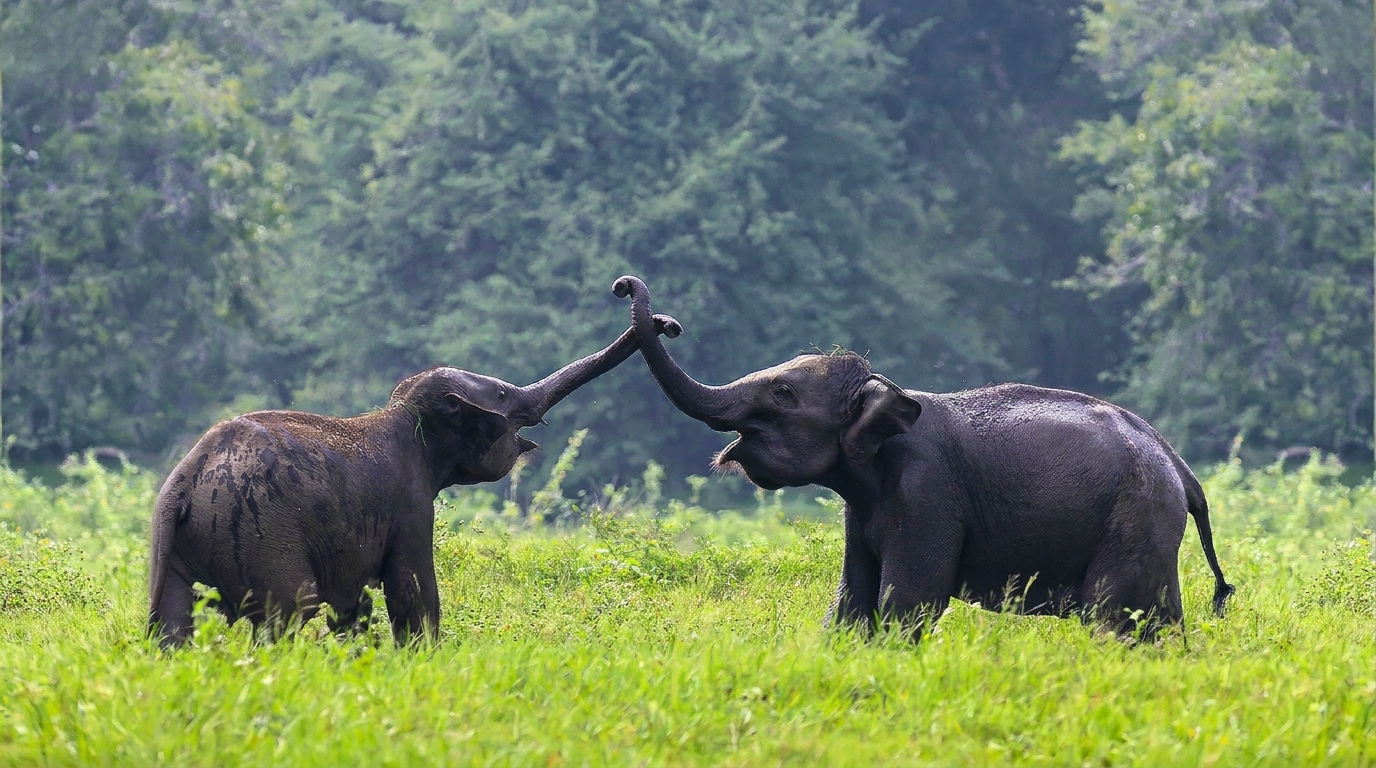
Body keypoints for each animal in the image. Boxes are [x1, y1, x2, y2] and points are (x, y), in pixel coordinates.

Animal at [148, 314, 681, 647]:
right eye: (504, 395)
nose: (666, 324)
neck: (402, 415)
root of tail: (185, 481)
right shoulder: (409, 503)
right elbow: (412, 593)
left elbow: (355, 606)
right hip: (263, 537)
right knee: (289, 614)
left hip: (174, 547)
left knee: (171, 624)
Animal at [613, 276, 1234, 639]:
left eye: (784, 393)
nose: (632, 292)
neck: (890, 394)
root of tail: (1179, 468)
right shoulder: (863, 508)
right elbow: (852, 601)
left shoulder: (927, 494)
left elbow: (908, 603)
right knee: (1158, 619)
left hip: (1134, 518)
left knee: (1115, 615)